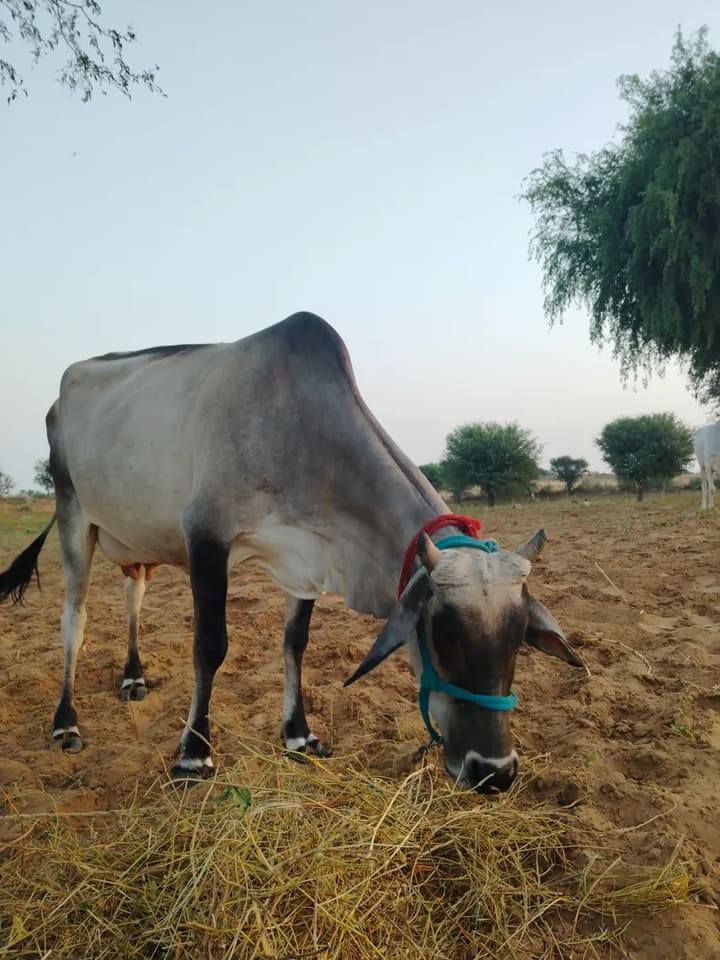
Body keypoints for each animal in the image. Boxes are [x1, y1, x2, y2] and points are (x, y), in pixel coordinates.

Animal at [0, 312, 584, 793]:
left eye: (519, 638)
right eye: (442, 632)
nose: (494, 772)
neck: (300, 429)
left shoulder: (305, 562)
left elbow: (294, 644)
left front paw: (298, 735)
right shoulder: (206, 540)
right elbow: (210, 646)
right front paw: (193, 754)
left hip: (135, 541)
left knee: (133, 597)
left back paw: (133, 677)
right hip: (75, 516)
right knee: (73, 619)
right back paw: (66, 722)